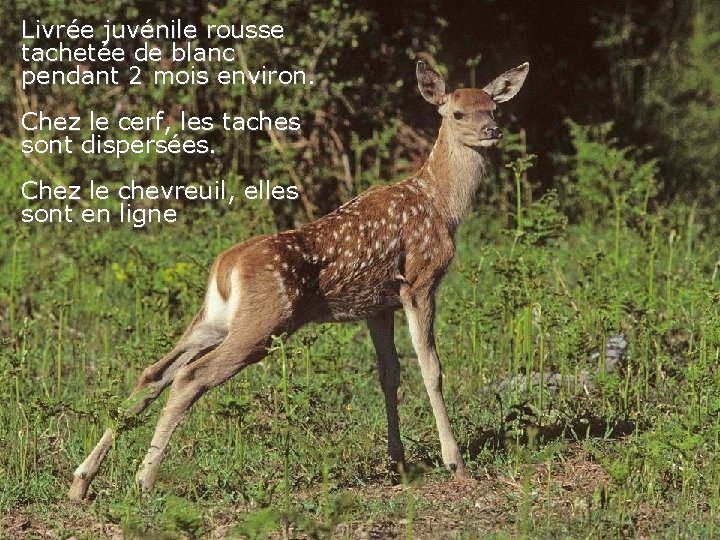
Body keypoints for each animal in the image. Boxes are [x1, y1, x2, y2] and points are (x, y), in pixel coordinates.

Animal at [68, 59, 529, 500]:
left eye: (494, 107)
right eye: (457, 112)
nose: (492, 130)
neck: (441, 204)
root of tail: (226, 266)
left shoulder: (378, 304)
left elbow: (390, 374)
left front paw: (397, 461)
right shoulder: (419, 279)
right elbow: (431, 368)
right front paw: (456, 464)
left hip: (214, 321)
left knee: (154, 373)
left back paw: (81, 481)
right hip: (263, 322)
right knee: (190, 377)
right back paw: (142, 482)